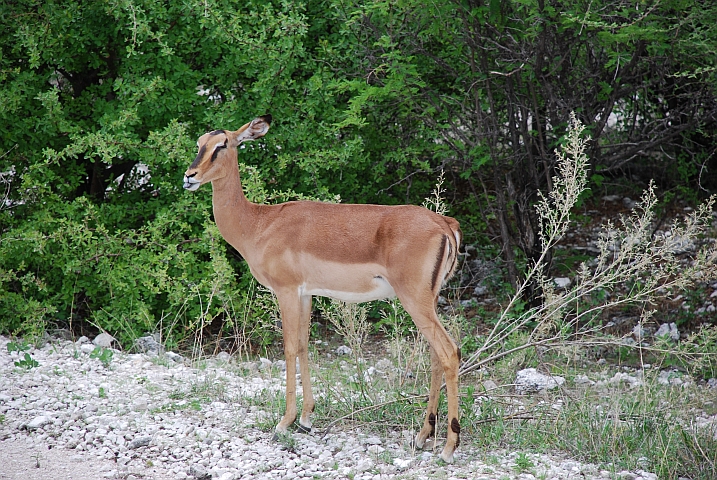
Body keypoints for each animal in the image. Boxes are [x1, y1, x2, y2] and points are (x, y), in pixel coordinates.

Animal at [183, 115, 463, 462]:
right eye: (199, 143)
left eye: (222, 145)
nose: (189, 177)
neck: (259, 223)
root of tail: (445, 224)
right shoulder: (305, 294)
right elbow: (304, 345)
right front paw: (305, 418)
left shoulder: (286, 291)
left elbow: (289, 348)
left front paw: (284, 422)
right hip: (429, 301)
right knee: (437, 355)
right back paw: (423, 436)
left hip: (415, 300)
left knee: (449, 352)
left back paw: (449, 446)